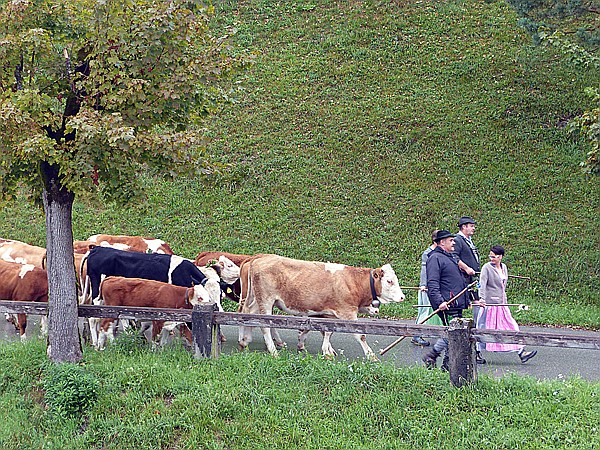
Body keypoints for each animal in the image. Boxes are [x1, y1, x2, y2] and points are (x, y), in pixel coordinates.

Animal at [238, 255, 404, 360]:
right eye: (389, 281)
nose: (402, 297)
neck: (353, 282)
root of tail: (259, 257)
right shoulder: (348, 312)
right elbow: (360, 335)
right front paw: (371, 356)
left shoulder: (331, 313)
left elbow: (327, 332)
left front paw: (327, 351)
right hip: (265, 300)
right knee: (264, 325)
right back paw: (272, 351)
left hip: (257, 300)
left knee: (246, 314)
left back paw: (244, 341)